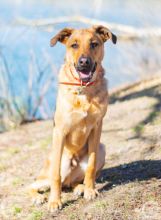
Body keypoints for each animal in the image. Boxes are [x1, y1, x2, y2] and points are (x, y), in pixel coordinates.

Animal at [29, 24, 117, 212]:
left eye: (94, 44)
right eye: (74, 45)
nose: (84, 62)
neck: (83, 90)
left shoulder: (97, 127)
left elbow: (91, 166)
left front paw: (90, 190)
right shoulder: (60, 131)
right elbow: (55, 175)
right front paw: (54, 201)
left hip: (102, 148)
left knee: (72, 182)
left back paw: (80, 187)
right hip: (57, 161)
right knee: (35, 184)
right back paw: (38, 197)